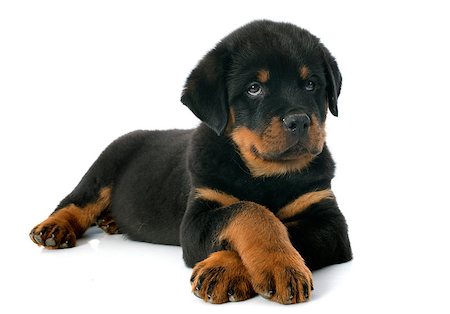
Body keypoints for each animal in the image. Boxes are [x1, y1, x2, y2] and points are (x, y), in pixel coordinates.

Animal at [29, 19, 352, 304]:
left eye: (311, 84)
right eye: (254, 89)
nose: (299, 120)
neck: (265, 174)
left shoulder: (330, 222)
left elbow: (287, 227)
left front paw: (227, 269)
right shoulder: (196, 218)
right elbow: (249, 211)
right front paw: (273, 265)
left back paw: (110, 221)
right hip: (106, 162)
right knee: (78, 200)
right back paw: (54, 228)